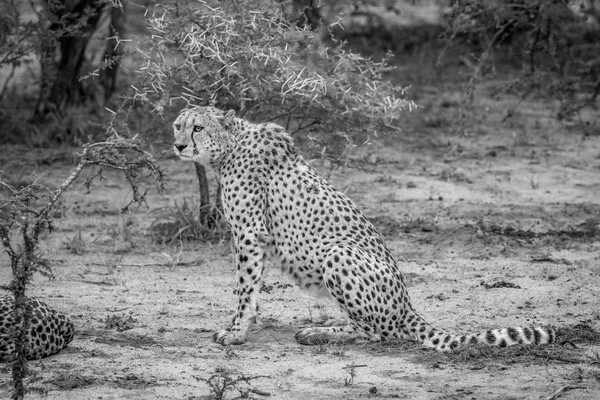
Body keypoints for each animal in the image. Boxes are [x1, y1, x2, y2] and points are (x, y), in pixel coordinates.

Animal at [171, 106, 556, 350]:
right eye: (178, 125)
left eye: (198, 127)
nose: (178, 145)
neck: (228, 149)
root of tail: (407, 305)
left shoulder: (250, 234)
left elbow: (245, 289)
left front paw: (236, 333)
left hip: (338, 253)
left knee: (377, 333)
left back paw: (317, 333)